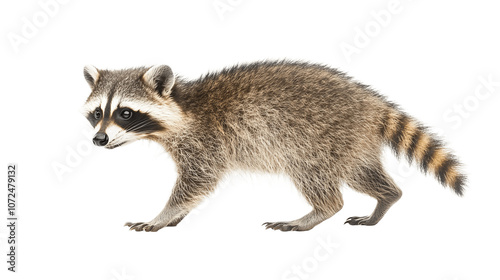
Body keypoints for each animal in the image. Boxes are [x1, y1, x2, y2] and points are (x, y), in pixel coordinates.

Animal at [80, 60, 466, 232]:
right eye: (98, 113)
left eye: (125, 113)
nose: (99, 139)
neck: (181, 105)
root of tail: (371, 102)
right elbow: (196, 188)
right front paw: (175, 216)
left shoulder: (205, 140)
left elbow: (197, 182)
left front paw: (162, 215)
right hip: (351, 142)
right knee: (361, 172)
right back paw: (386, 197)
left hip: (318, 138)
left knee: (319, 179)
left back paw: (317, 212)